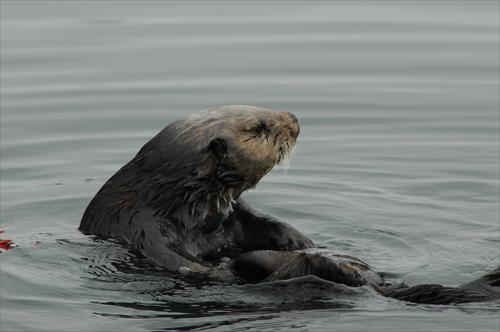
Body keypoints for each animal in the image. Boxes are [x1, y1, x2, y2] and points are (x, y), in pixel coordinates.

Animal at [80, 105, 498, 304]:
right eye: (258, 127)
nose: (293, 118)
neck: (185, 207)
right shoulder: (150, 232)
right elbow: (200, 269)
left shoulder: (231, 218)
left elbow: (263, 223)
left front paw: (299, 239)